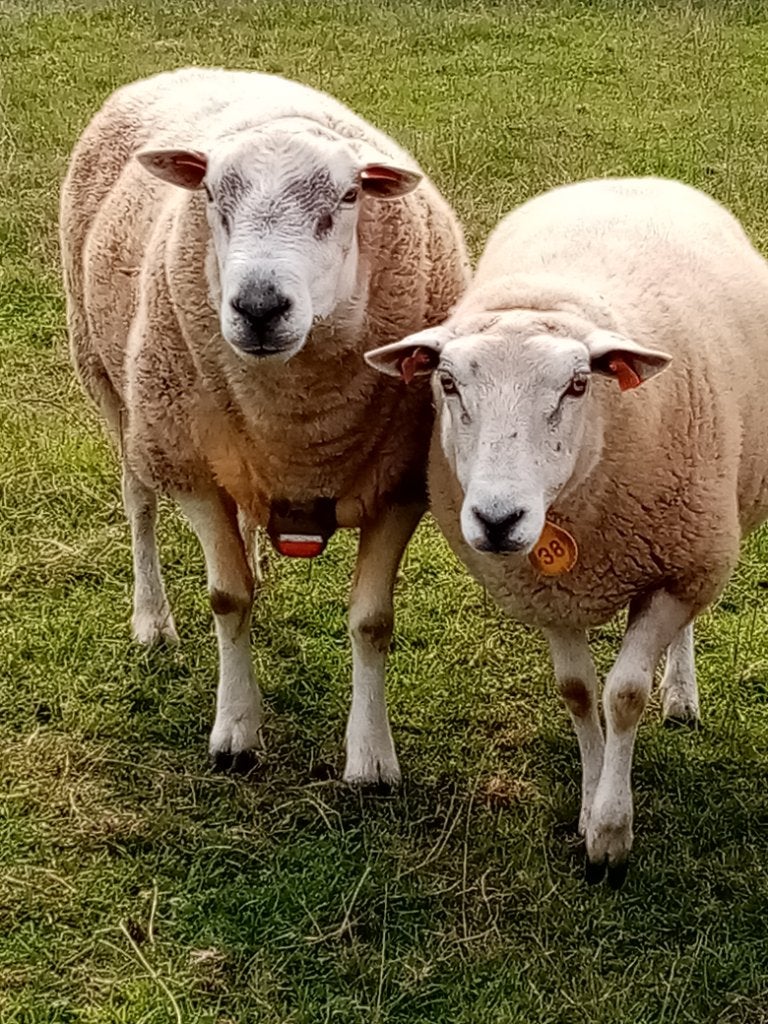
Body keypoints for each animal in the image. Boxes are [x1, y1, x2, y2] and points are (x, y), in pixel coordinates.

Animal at [60, 66, 469, 785]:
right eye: (210, 196)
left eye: (349, 195)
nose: (258, 307)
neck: (301, 422)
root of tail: (186, 69)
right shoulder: (190, 467)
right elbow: (228, 599)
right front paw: (236, 732)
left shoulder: (403, 483)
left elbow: (372, 621)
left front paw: (371, 756)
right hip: (117, 389)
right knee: (139, 501)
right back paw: (152, 619)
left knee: (245, 511)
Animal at [365, 176, 768, 884]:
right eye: (447, 382)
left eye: (578, 384)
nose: (498, 520)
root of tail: (629, 177)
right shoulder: (549, 593)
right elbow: (579, 693)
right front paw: (587, 805)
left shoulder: (680, 565)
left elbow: (625, 694)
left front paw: (611, 834)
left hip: (703, 533)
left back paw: (680, 695)